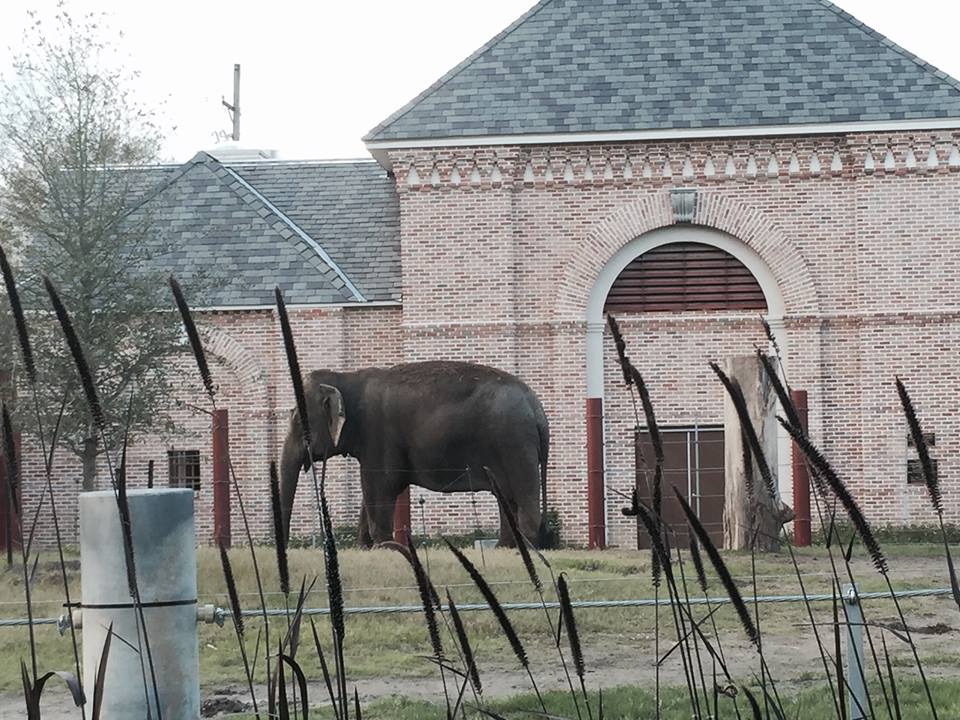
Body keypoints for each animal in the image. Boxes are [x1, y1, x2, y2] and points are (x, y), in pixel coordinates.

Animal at [279, 360, 550, 548]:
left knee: (522, 495)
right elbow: (372, 490)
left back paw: (525, 549)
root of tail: (537, 409)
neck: (345, 378)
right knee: (506, 496)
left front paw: (382, 547)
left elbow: (378, 484)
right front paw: (363, 547)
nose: (285, 547)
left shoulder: (378, 435)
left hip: (514, 443)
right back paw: (505, 548)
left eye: (297, 420)